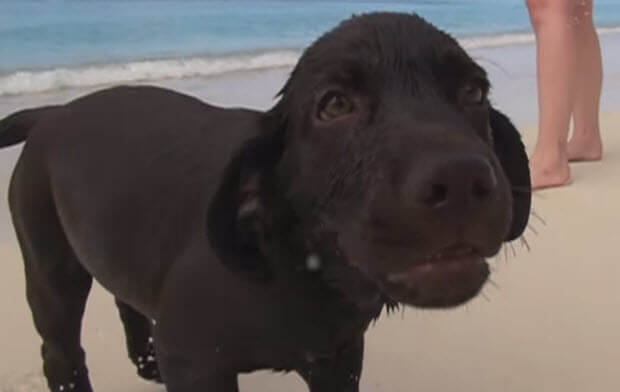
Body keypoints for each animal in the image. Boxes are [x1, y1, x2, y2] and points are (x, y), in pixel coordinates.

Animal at [1, 12, 528, 392]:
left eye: (473, 91)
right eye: (335, 105)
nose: (461, 181)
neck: (305, 270)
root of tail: (52, 114)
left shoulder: (338, 359)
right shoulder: (193, 361)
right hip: (51, 270)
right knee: (61, 352)